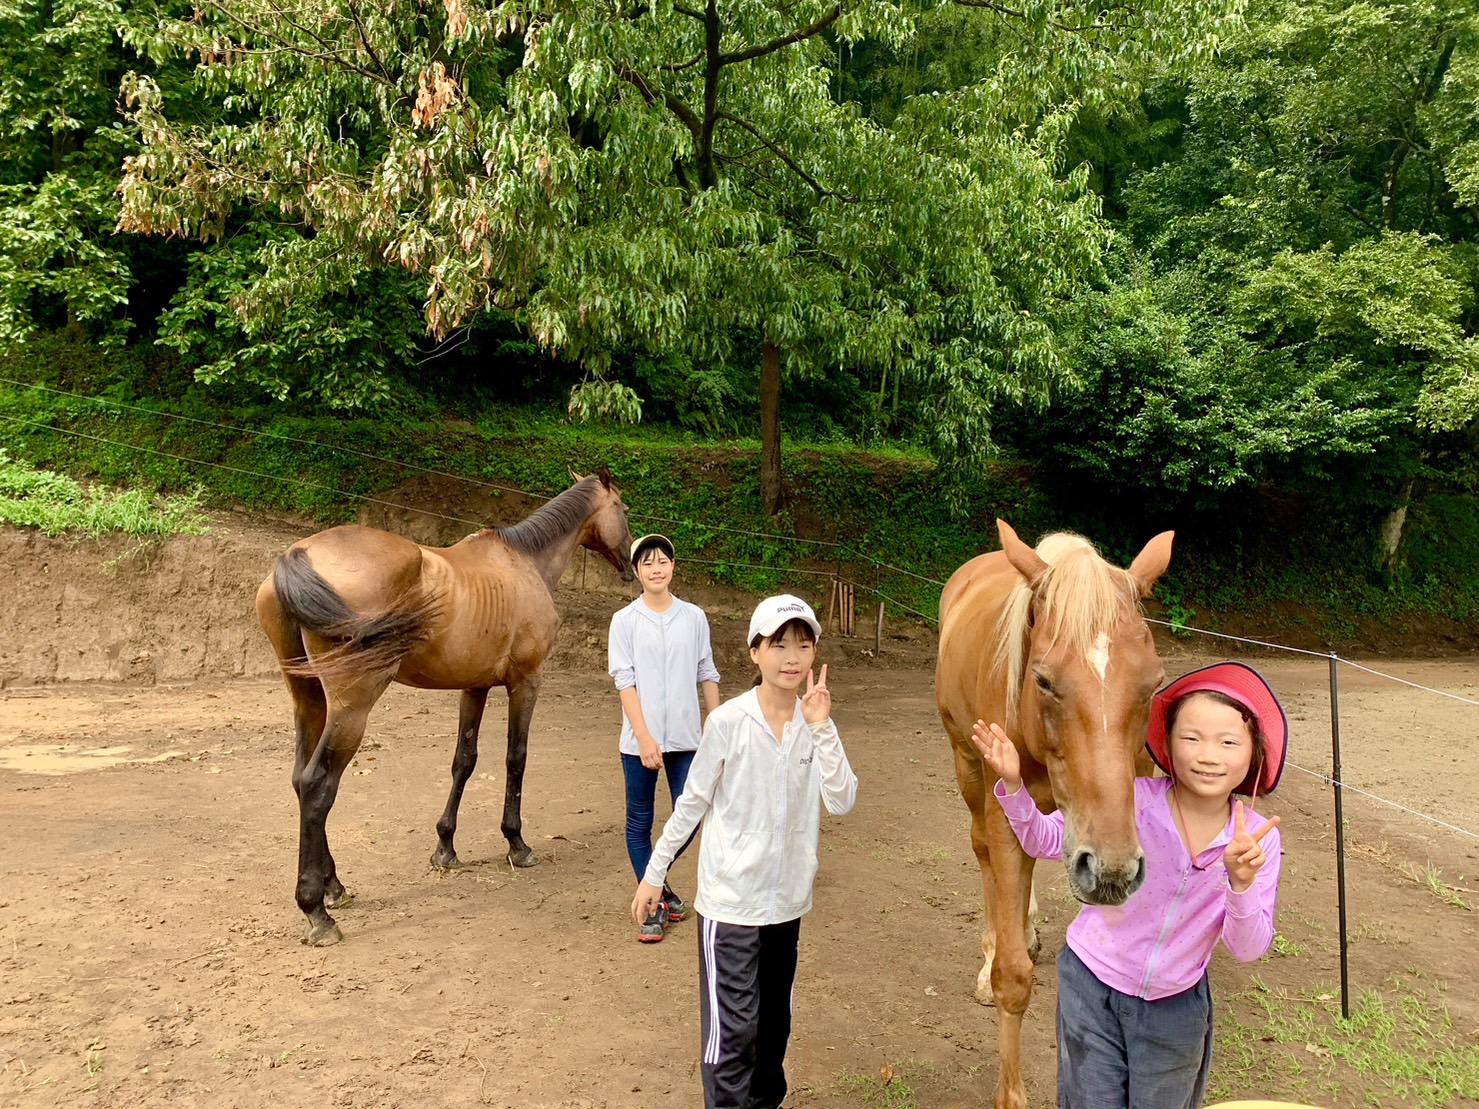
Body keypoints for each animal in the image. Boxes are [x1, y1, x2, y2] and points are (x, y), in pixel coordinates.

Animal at [254, 470, 635, 946]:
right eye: (624, 508)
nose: (630, 564)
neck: (525, 562)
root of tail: (298, 553)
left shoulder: (474, 687)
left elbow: (464, 761)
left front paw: (445, 848)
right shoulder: (527, 683)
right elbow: (516, 759)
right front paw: (517, 844)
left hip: (308, 700)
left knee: (298, 779)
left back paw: (334, 886)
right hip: (351, 708)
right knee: (317, 785)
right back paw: (317, 912)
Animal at [935, 519, 1173, 1109]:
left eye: (1154, 683)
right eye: (1043, 680)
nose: (1111, 869)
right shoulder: (1005, 810)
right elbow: (1013, 977)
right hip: (966, 764)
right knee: (983, 854)